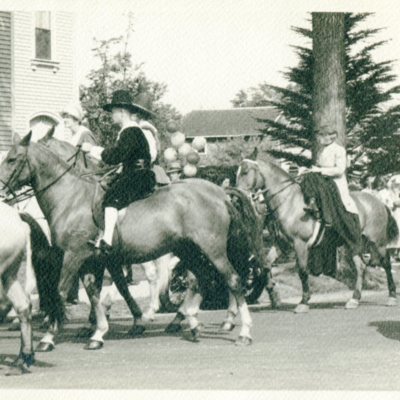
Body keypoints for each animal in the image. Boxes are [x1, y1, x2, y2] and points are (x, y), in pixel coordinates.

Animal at [0, 132, 260, 350]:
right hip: (189, 250)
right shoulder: (90, 260)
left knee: (232, 279)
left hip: (212, 249)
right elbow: (95, 292)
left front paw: (48, 337)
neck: (71, 199)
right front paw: (98, 332)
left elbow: (62, 291)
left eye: (12, 159)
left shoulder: (73, 256)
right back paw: (191, 321)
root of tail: (219, 193)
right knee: (202, 278)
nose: (1, 193)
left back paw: (243, 331)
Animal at [236, 155, 398, 310]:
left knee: (386, 264)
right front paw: (273, 295)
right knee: (361, 267)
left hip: (377, 242)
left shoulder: (300, 244)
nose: (238, 197)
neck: (289, 203)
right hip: (353, 243)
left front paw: (304, 302)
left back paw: (392, 296)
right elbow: (266, 266)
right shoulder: (282, 244)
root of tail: (379, 202)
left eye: (245, 172)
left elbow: (302, 271)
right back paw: (354, 299)